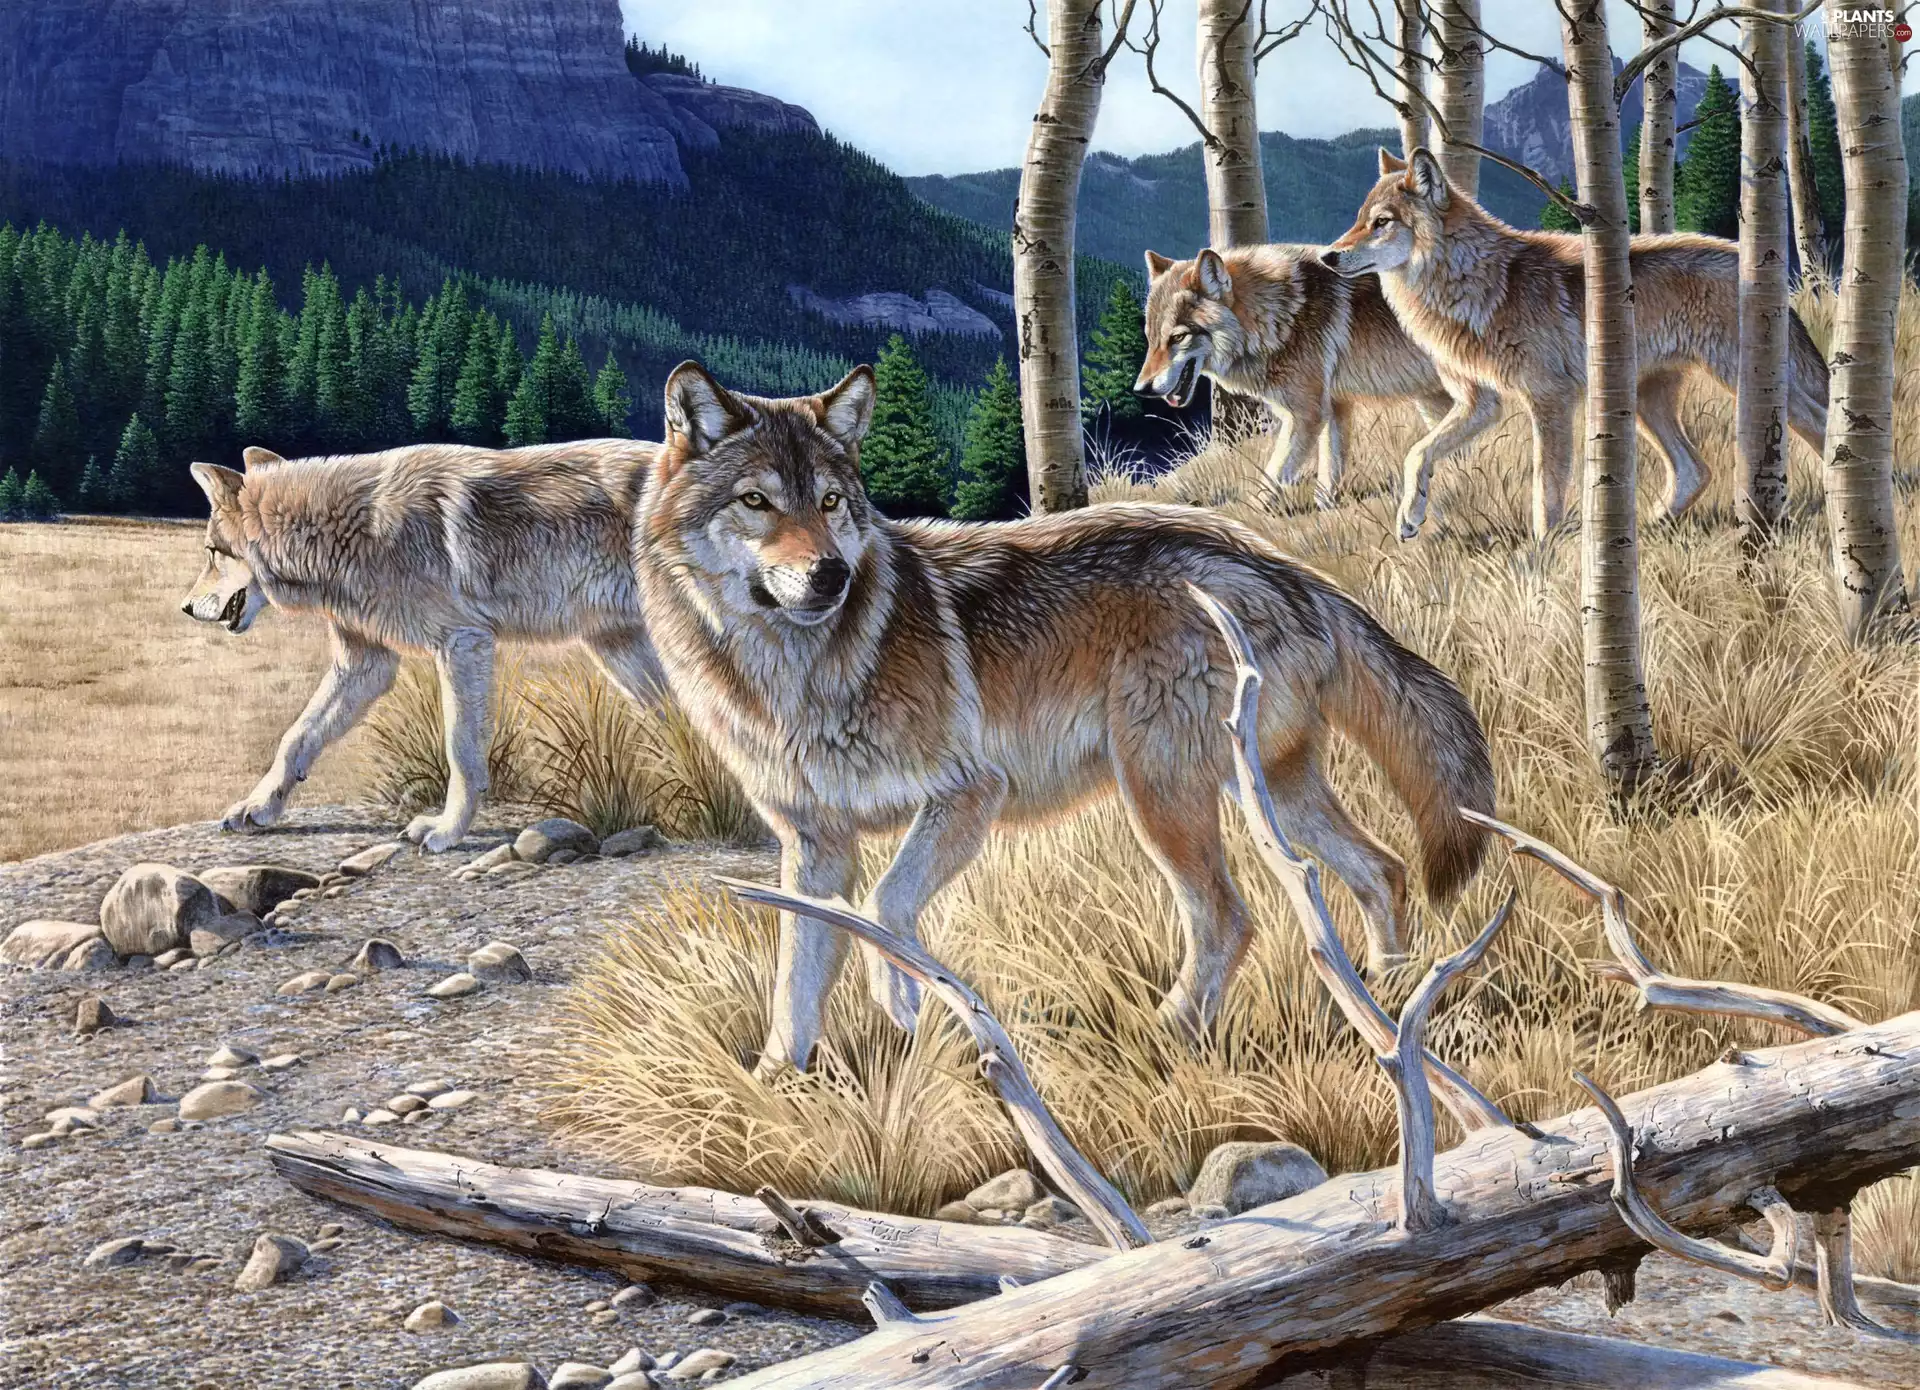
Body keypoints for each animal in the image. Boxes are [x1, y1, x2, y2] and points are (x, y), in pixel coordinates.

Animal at [181, 439, 665, 850]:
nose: (184, 607)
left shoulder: (463, 644)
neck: (352, 531)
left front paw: (448, 831)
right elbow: (296, 737)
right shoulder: (364, 664)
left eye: (210, 552)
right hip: (619, 650)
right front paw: (259, 807)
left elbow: (460, 749)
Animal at [635, 360, 1497, 1074]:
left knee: (1231, 918)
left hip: (1164, 796)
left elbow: (884, 909)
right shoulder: (816, 847)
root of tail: (1282, 564)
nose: (832, 575)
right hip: (1271, 791)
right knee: (1382, 869)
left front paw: (903, 1002)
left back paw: (1171, 1033)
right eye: (757, 502)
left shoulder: (968, 795)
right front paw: (776, 1082)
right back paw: (1386, 1005)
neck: (796, 674)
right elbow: (797, 980)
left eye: (831, 502)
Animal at [1134, 245, 1459, 504]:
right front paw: (1327, 513)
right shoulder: (1334, 408)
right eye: (1150, 339)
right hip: (1432, 400)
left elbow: (1272, 479)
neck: (1278, 316)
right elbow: (1329, 474)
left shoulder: (1307, 415)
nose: (1141, 389)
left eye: (1178, 338)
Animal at [1322, 148, 1829, 539]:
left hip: (1747, 381)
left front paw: (1541, 561)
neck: (1479, 284)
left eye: (1381, 223)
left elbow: (1545, 491)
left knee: (1823, 425)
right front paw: (1409, 518)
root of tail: (1749, 259)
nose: (1327, 256)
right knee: (1695, 470)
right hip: (1645, 402)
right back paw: (1647, 527)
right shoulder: (1480, 403)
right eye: (1358, 220)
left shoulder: (1550, 399)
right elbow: (1417, 453)